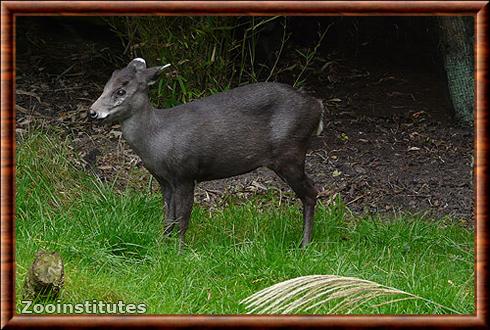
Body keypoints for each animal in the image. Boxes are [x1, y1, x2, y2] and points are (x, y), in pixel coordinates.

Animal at [90, 59, 326, 251]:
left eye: (121, 91)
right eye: (106, 86)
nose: (92, 111)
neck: (156, 138)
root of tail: (317, 105)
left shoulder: (185, 174)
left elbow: (183, 218)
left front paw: (179, 252)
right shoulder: (164, 181)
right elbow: (168, 217)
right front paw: (162, 246)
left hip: (290, 152)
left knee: (311, 192)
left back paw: (304, 245)